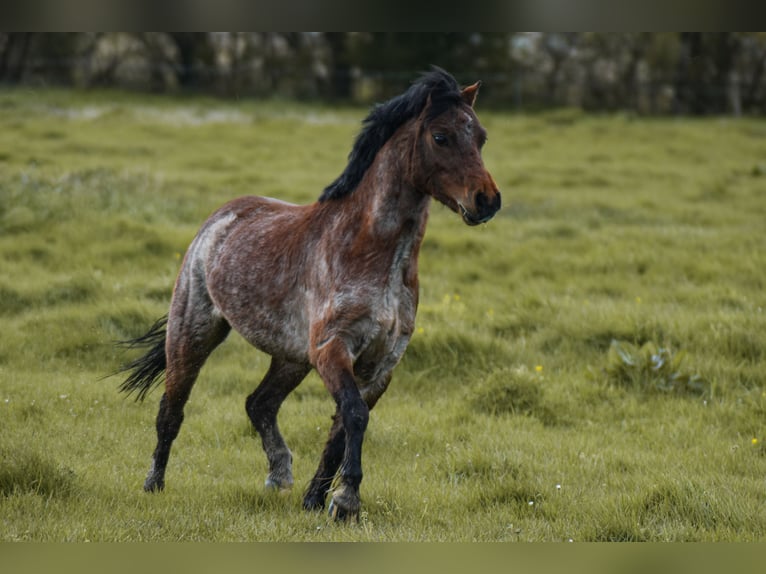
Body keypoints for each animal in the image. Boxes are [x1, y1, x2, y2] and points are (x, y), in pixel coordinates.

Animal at [116, 67, 501, 521]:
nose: (487, 200)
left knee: (259, 403)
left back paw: (279, 475)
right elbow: (354, 416)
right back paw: (154, 484)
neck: (373, 254)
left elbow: (342, 428)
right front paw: (346, 500)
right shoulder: (332, 348)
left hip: (291, 357)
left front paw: (316, 500)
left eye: (481, 137)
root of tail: (219, 219)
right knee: (171, 409)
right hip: (194, 332)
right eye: (441, 136)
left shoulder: (381, 363)